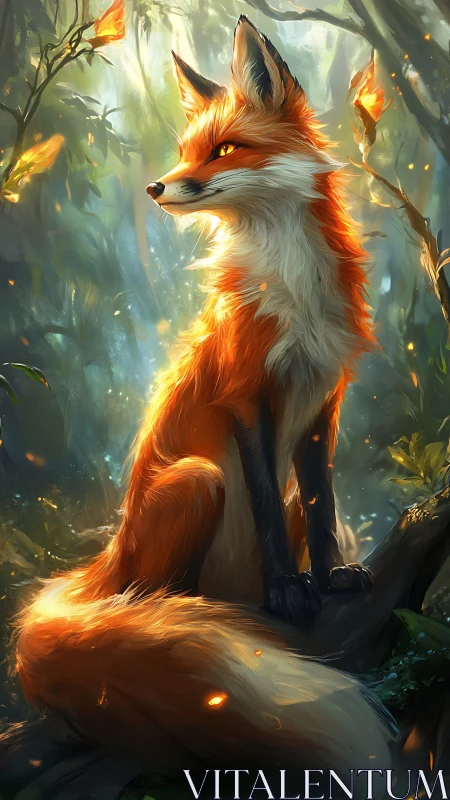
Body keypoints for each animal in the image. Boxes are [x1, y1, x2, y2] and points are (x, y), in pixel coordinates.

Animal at [3, 16, 391, 788]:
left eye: (226, 149)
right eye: (188, 150)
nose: (157, 186)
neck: (293, 293)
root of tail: (109, 556)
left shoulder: (321, 400)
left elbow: (321, 503)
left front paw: (330, 577)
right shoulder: (245, 394)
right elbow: (267, 504)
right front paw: (288, 592)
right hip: (197, 480)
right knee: (149, 598)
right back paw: (186, 617)